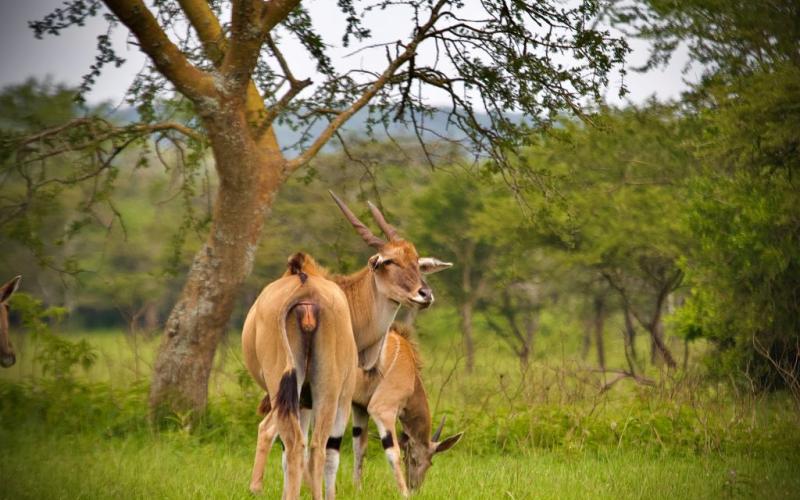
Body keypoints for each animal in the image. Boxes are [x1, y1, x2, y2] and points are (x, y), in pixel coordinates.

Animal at [352, 324, 462, 496]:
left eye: (430, 463)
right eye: (414, 459)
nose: (414, 489)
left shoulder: (359, 408)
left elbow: (359, 449)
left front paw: (357, 490)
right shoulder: (382, 408)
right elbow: (393, 452)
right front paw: (404, 494)